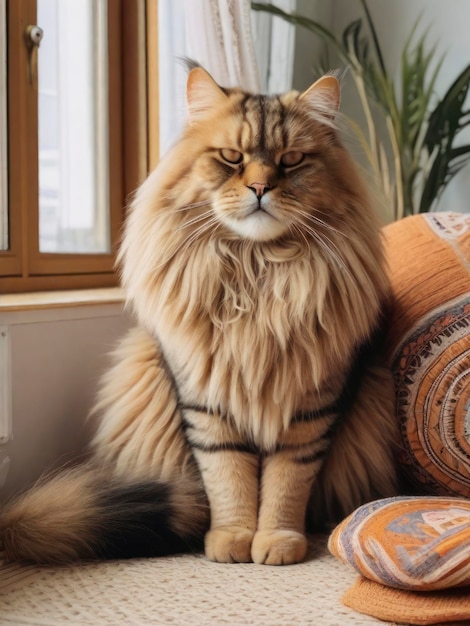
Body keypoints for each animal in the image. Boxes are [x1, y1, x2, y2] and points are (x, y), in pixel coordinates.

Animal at [0, 64, 396, 564]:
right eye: (231, 157)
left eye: (290, 160)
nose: (261, 188)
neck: (257, 270)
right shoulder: (206, 399)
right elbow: (228, 478)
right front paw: (232, 540)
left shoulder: (310, 406)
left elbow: (286, 484)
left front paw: (278, 541)